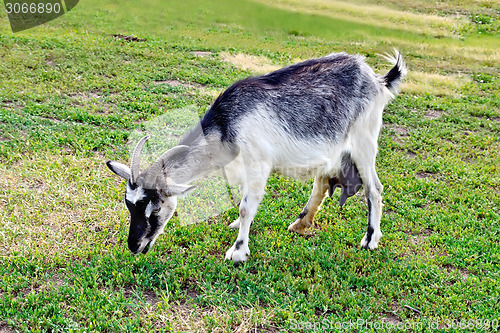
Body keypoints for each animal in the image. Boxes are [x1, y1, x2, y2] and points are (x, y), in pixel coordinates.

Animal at [106, 50, 406, 262]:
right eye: (128, 205)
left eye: (156, 208)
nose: (134, 246)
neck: (227, 126)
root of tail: (377, 80)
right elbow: (242, 200)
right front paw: (237, 226)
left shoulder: (258, 163)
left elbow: (246, 206)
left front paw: (238, 251)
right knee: (321, 182)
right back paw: (301, 223)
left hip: (364, 140)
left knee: (374, 189)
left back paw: (370, 240)